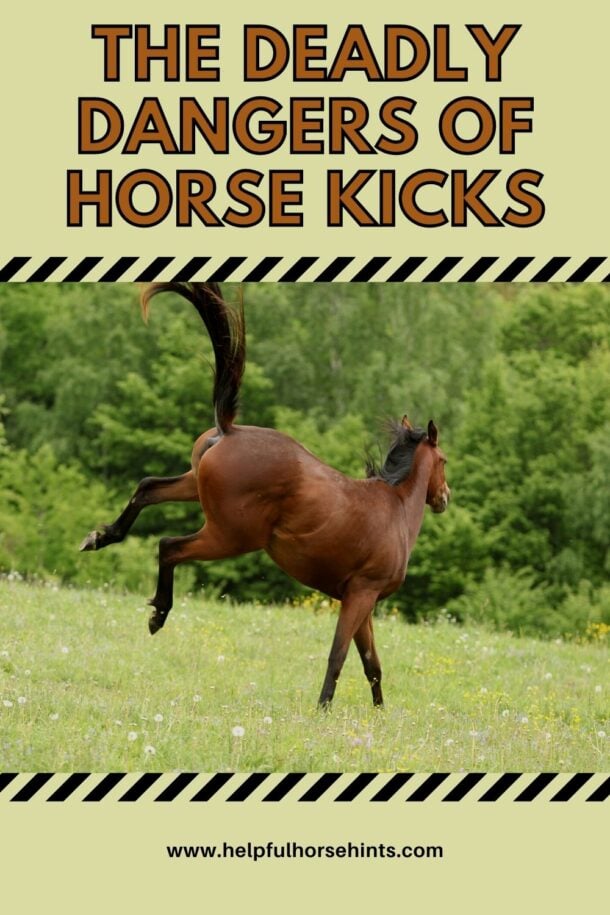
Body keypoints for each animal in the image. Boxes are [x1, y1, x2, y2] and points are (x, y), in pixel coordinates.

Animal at [80, 283, 450, 707]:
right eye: (444, 460)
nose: (444, 497)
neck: (395, 508)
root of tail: (229, 430)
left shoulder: (362, 600)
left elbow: (371, 663)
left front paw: (378, 713)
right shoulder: (361, 595)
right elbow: (338, 656)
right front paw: (323, 708)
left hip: (193, 488)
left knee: (147, 488)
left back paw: (101, 537)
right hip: (228, 536)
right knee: (169, 545)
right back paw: (158, 614)